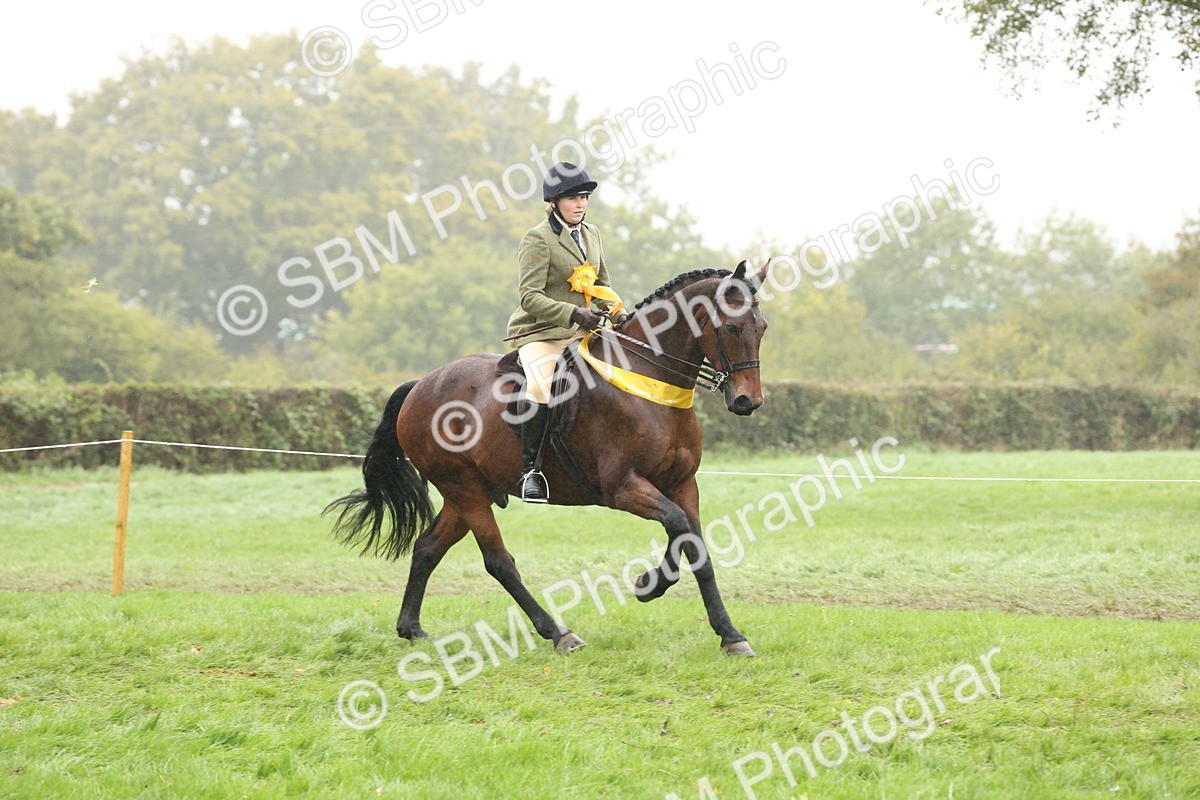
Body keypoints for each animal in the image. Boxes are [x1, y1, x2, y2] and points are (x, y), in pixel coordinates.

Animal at [325, 260, 772, 656]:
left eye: (762, 327)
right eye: (731, 327)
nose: (747, 401)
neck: (649, 378)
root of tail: (420, 386)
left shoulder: (682, 484)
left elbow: (695, 548)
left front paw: (729, 634)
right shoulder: (622, 488)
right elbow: (678, 526)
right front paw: (649, 585)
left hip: (467, 492)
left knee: (428, 548)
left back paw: (411, 628)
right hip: (464, 488)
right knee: (499, 562)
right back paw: (559, 633)